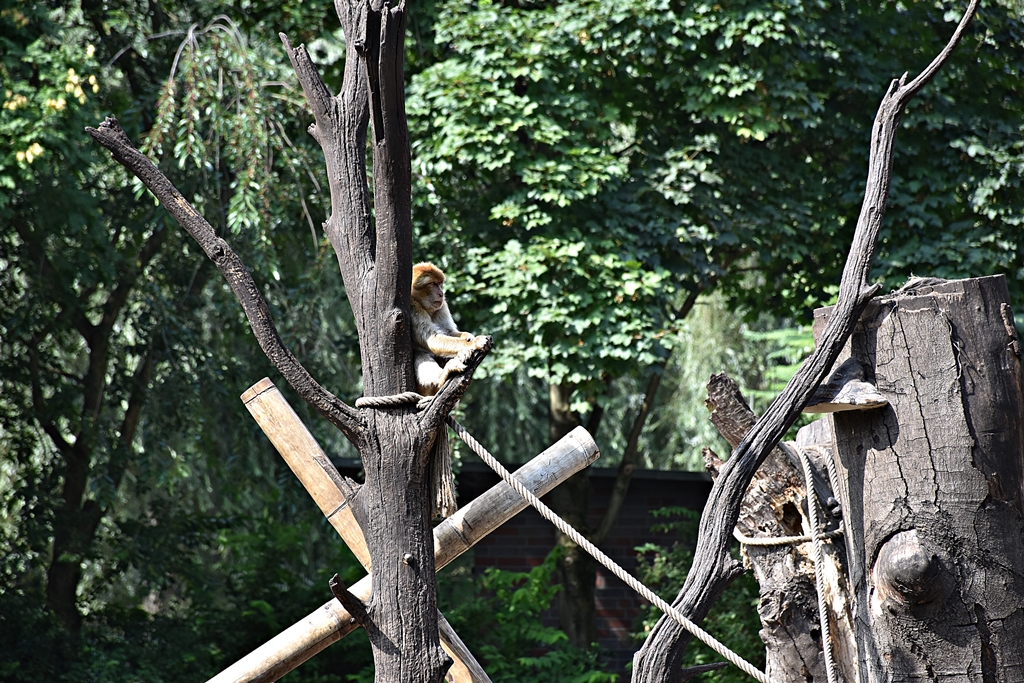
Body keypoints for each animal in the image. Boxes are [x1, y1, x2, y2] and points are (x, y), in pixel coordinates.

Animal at [410, 262, 488, 396]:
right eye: (432, 284)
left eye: (440, 284)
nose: (441, 293)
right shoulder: (413, 307)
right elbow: (432, 339)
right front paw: (474, 343)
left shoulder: (442, 306)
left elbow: (448, 331)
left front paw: (468, 337)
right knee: (420, 353)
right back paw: (442, 377)